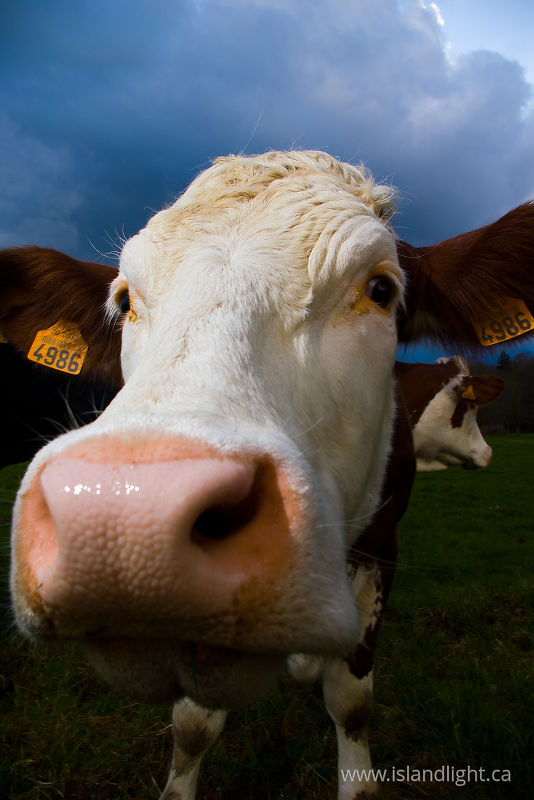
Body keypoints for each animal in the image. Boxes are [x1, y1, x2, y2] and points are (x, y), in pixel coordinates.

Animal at [5, 151, 534, 800]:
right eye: (125, 300)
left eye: (381, 289)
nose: (127, 513)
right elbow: (193, 728)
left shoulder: (383, 553)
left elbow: (352, 704)